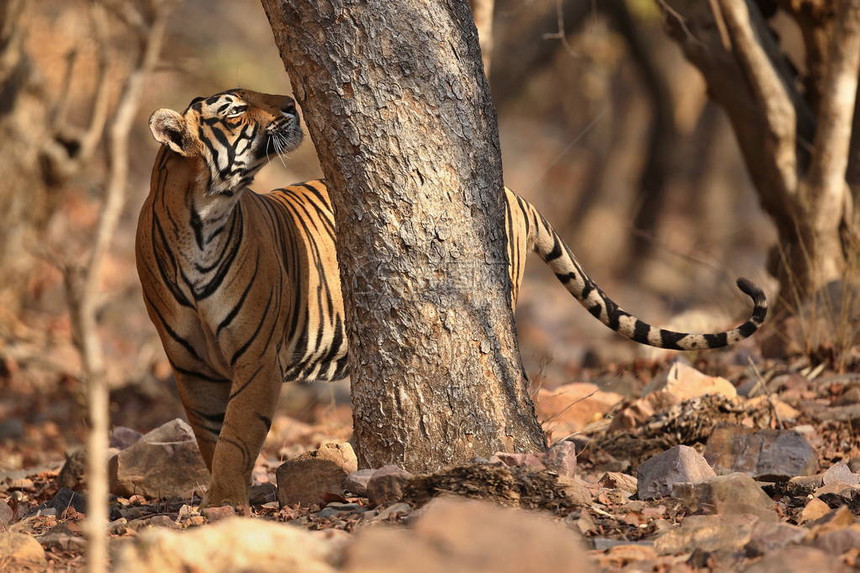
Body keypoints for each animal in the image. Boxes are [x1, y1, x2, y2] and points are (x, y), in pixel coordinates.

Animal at [138, 88, 768, 504]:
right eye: (235, 110)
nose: (292, 104)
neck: (202, 218)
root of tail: (513, 192)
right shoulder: (190, 363)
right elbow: (211, 434)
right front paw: (222, 498)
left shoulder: (258, 356)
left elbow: (238, 435)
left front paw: (225, 504)